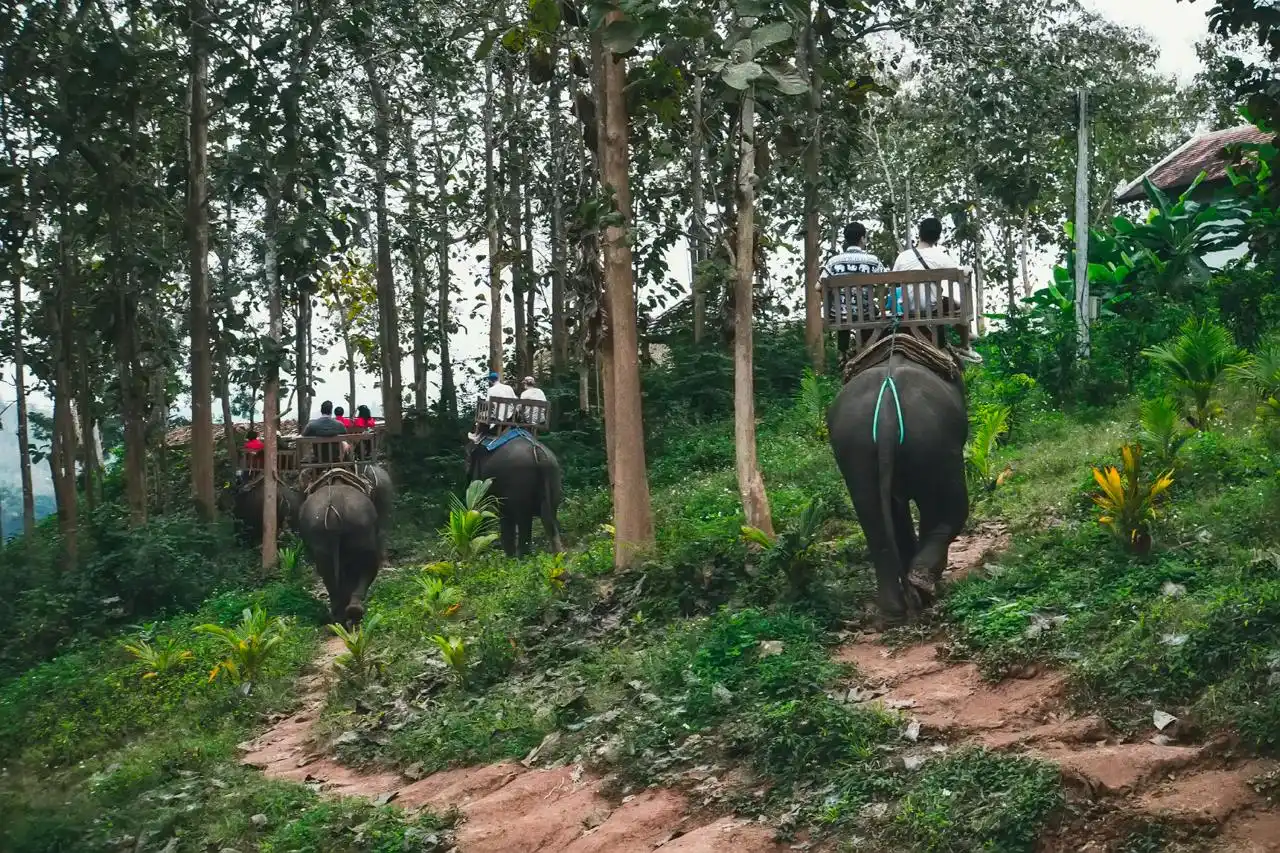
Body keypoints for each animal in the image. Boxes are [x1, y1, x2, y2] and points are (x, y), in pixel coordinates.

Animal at [297, 483, 382, 626]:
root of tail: (333, 511)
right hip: (358, 528)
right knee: (368, 564)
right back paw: (350, 613)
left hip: (324, 530)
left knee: (329, 571)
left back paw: (341, 616)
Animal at [827, 352, 969, 624]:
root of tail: (886, 414)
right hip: (933, 440)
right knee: (948, 509)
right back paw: (922, 587)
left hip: (854, 446)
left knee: (874, 521)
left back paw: (894, 606)